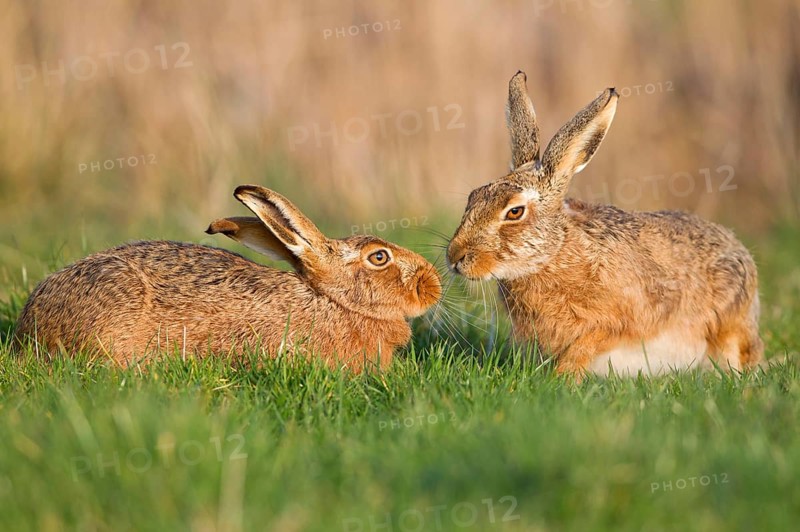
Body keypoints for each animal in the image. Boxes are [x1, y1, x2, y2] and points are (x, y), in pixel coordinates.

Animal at [446, 71, 763, 378]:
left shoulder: (618, 321)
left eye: (515, 212)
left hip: (728, 327)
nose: (454, 256)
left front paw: (563, 378)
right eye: (474, 196)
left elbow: (587, 344)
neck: (554, 253)